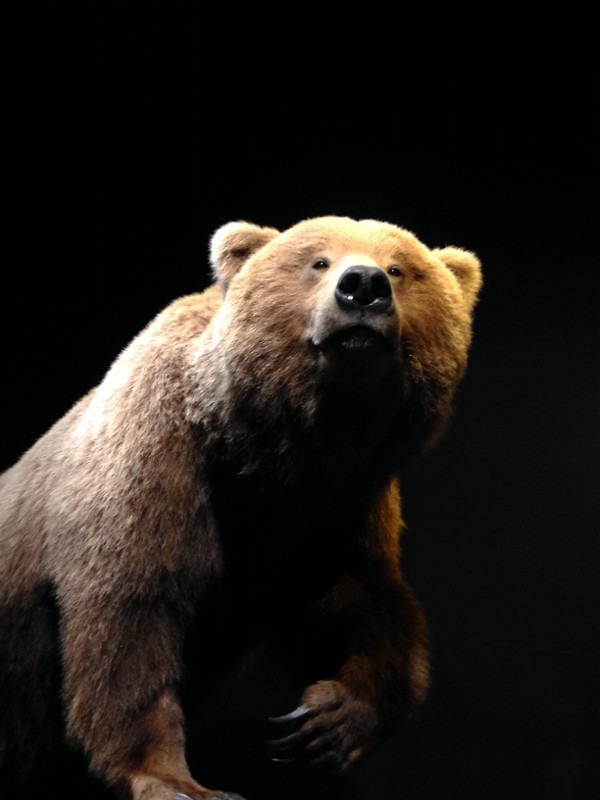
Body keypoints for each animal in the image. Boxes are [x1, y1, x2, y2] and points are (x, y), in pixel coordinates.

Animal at [0, 215, 482, 800]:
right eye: (318, 261)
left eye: (399, 268)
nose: (363, 286)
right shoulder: (157, 466)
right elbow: (130, 615)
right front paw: (174, 779)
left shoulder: (339, 509)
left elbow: (361, 600)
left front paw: (329, 724)